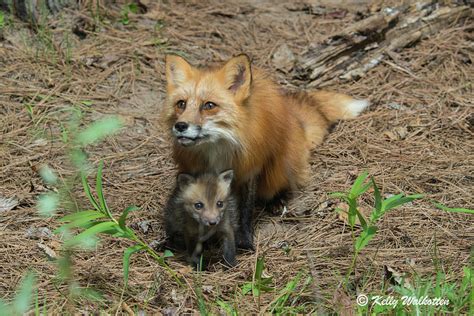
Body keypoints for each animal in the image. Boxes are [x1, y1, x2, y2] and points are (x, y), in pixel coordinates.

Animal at [164, 53, 370, 248]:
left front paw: (244, 241)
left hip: (279, 166)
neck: (218, 149)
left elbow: (246, 210)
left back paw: (277, 201)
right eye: (181, 104)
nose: (180, 126)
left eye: (209, 105)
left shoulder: (250, 169)